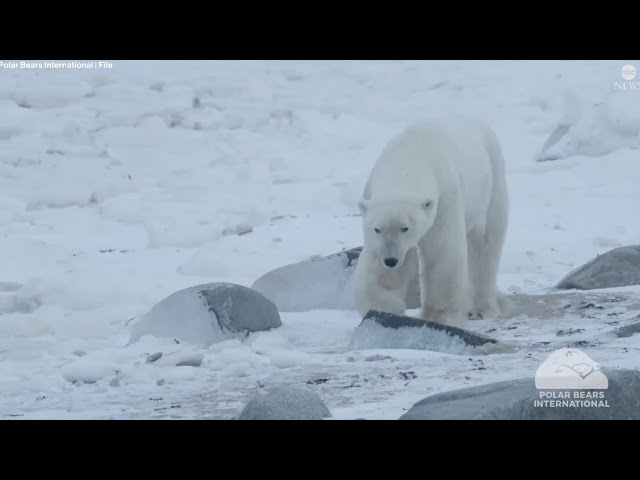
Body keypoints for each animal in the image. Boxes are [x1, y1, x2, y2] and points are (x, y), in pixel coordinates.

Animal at [356, 117, 510, 326]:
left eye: (405, 228)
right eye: (377, 229)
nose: (391, 260)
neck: (407, 159)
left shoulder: (444, 200)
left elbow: (441, 253)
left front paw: (440, 316)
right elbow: (378, 265)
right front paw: (387, 306)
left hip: (492, 181)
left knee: (486, 244)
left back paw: (481, 309)